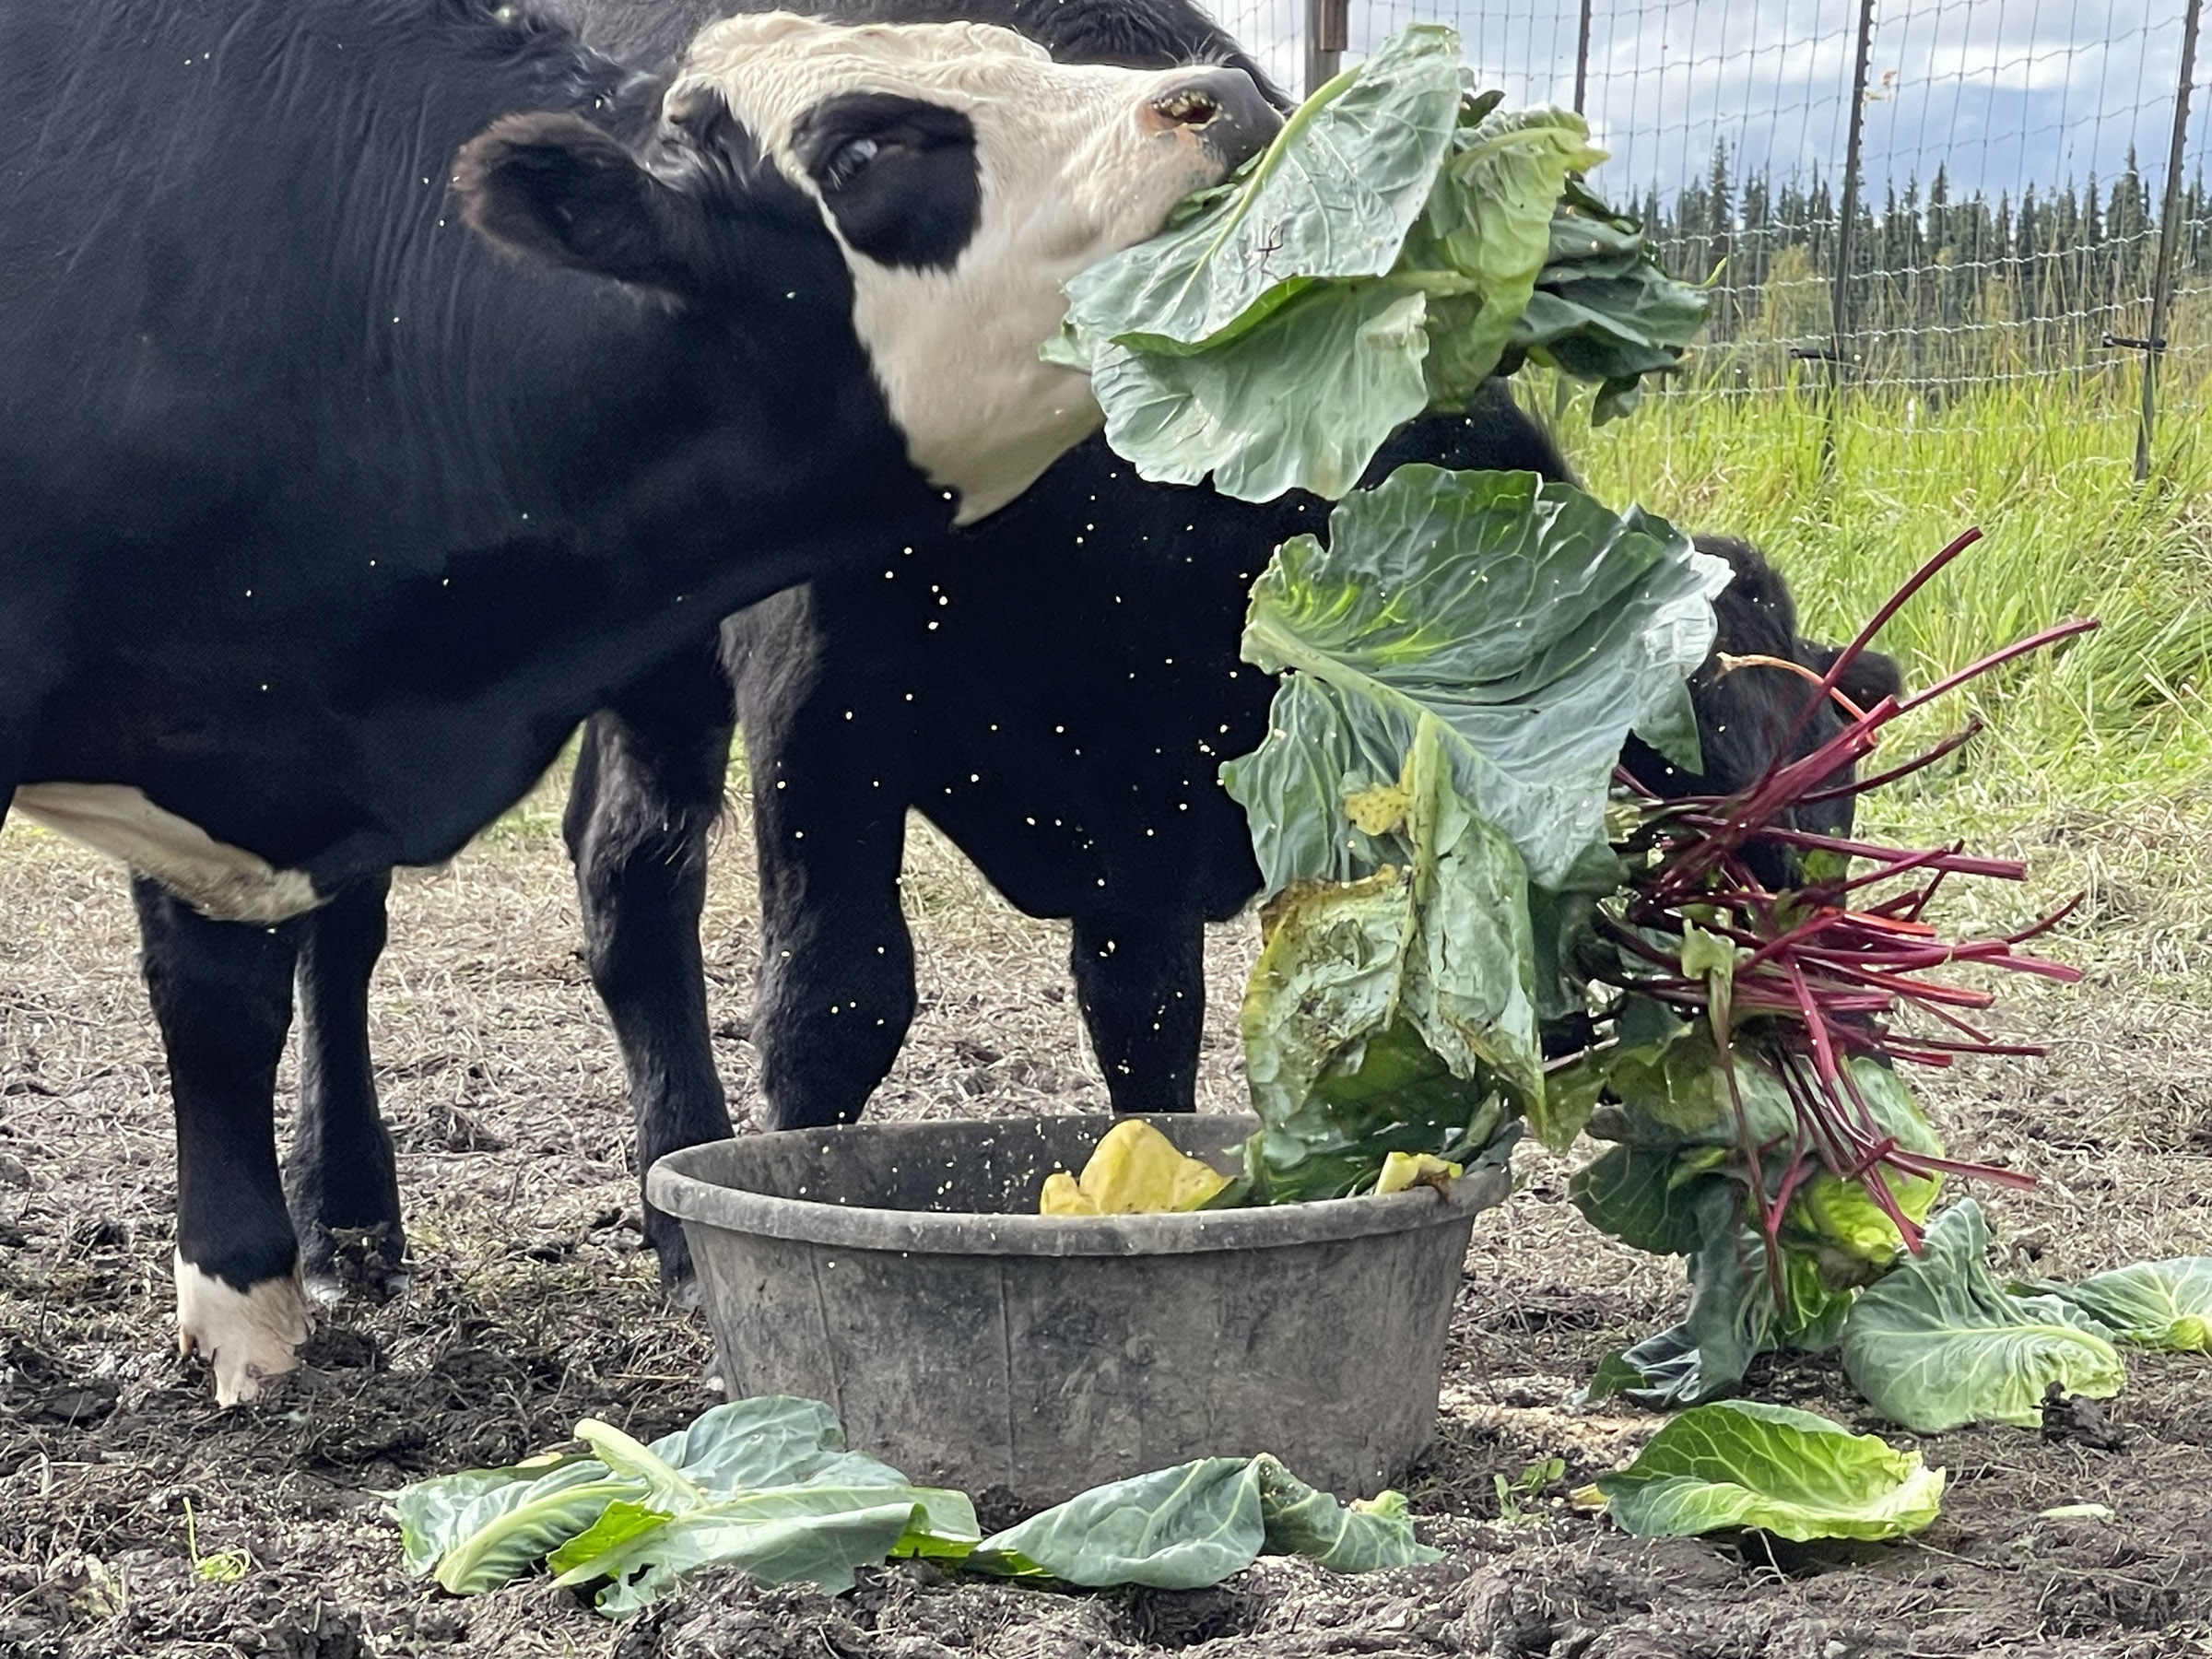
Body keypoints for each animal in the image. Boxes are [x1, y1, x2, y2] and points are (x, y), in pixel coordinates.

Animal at [0, 0, 1283, 1406]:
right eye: (863, 149)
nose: (1217, 100)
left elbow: (1146, 1000)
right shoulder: (820, 689)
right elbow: (838, 995)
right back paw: (351, 1216)